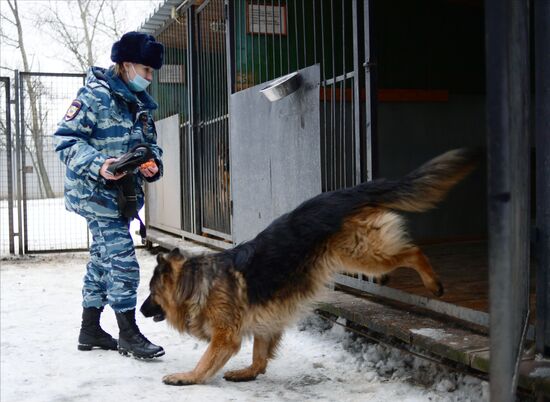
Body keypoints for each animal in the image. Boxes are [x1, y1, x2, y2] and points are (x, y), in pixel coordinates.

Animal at [141, 148, 478, 386]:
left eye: (151, 293)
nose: (141, 311)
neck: (197, 282)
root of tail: (345, 193)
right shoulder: (266, 320)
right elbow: (260, 355)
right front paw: (249, 372)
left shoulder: (225, 337)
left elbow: (206, 361)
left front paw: (187, 377)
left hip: (360, 253)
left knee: (412, 250)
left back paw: (433, 284)